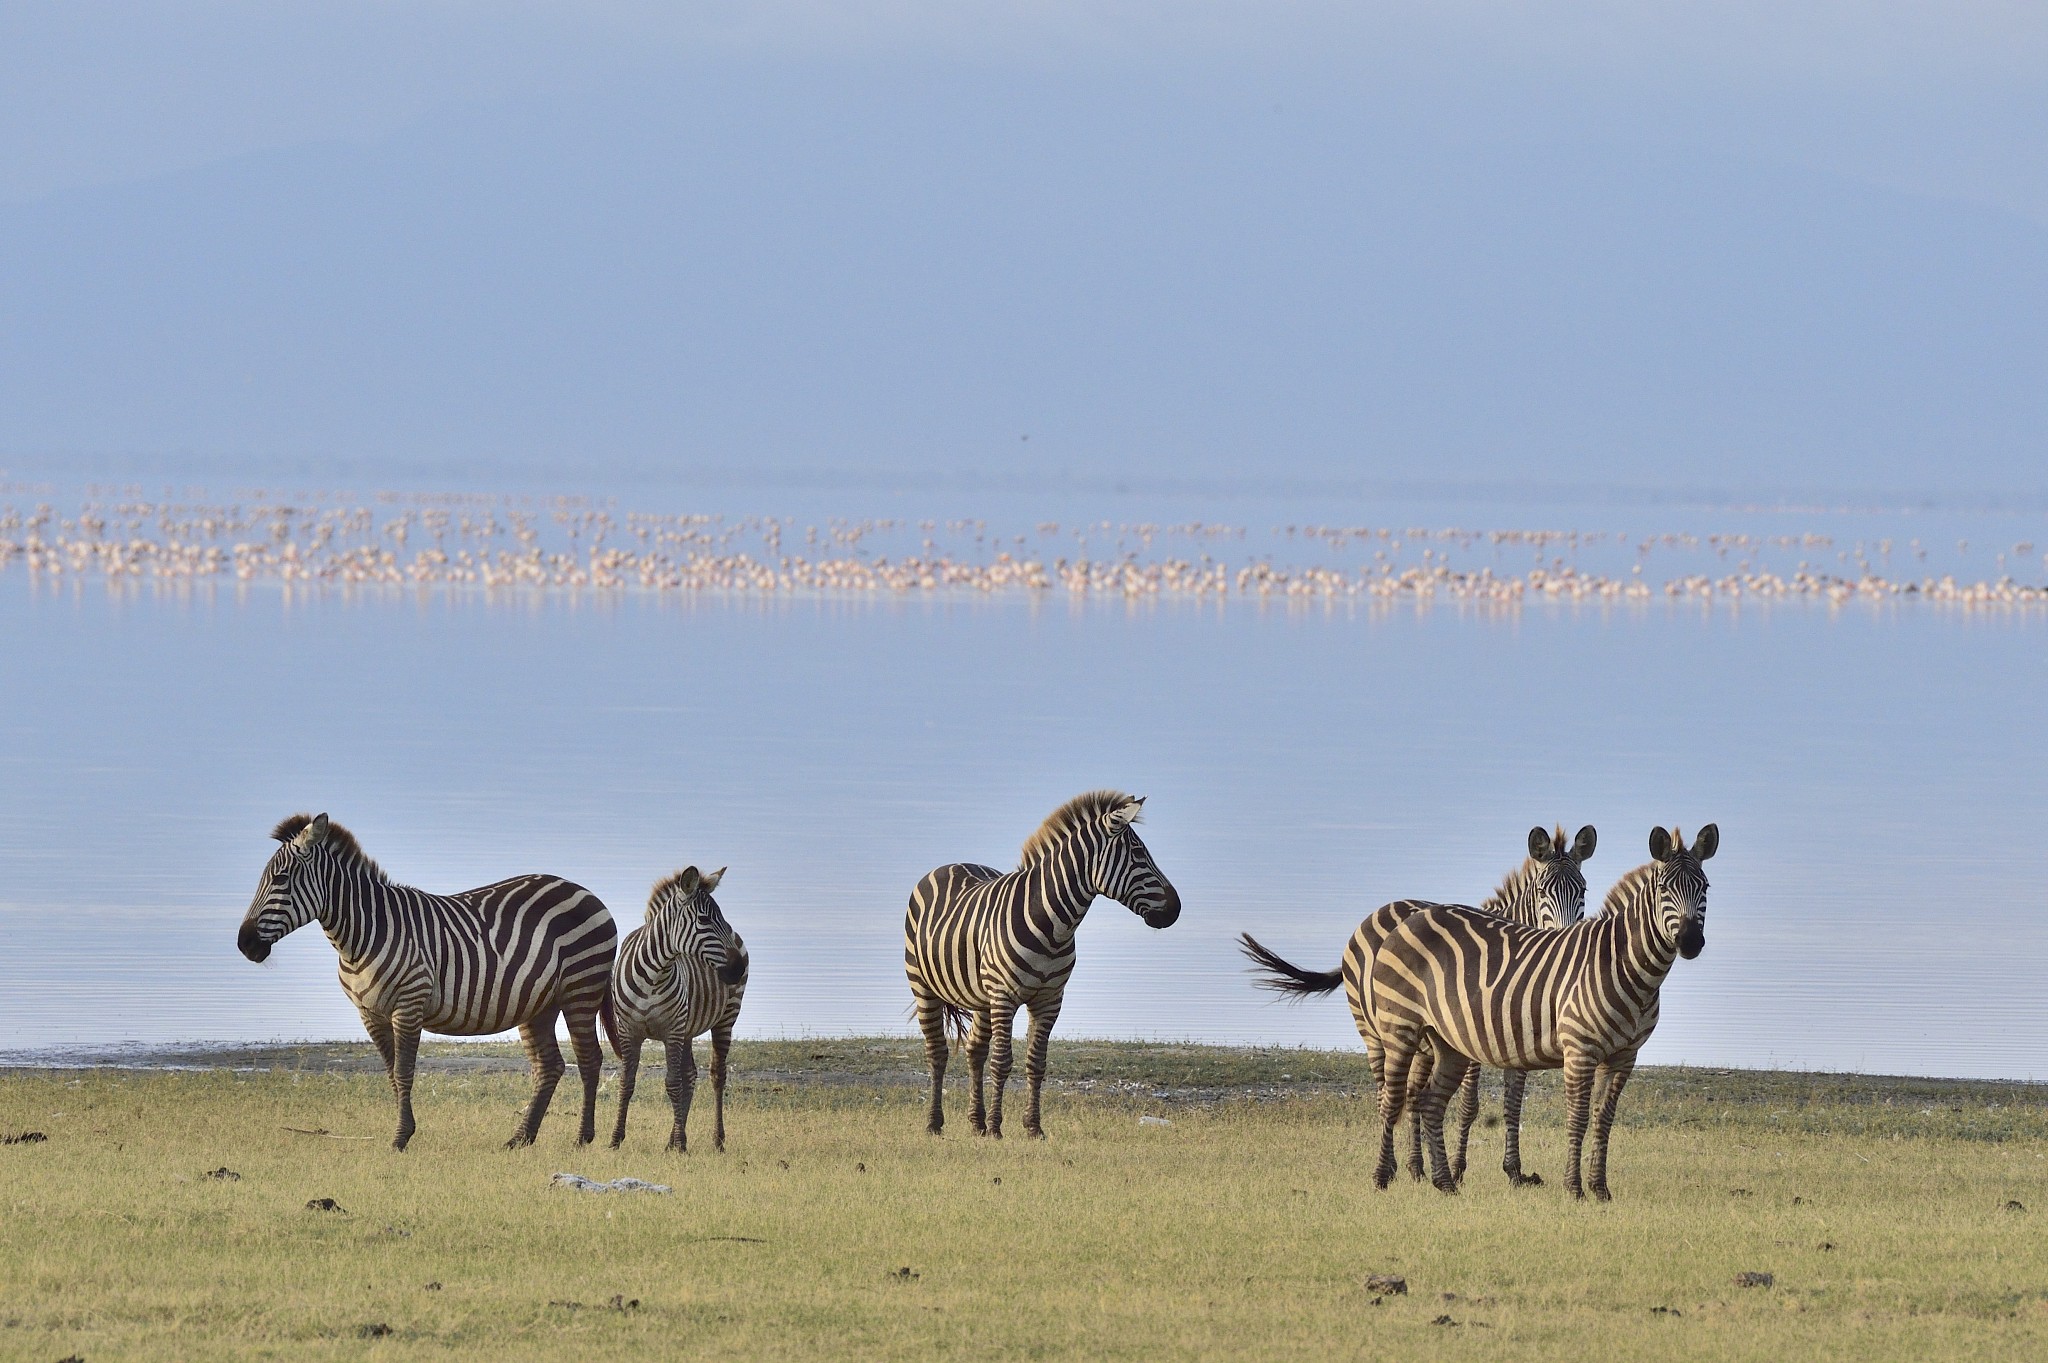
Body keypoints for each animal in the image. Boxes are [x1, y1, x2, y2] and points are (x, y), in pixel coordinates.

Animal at [235, 813, 618, 1151]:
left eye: (281, 879)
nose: (245, 944)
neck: (363, 936)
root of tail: (587, 892)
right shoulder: (369, 1013)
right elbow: (391, 1074)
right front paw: (404, 1131)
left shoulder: (409, 1003)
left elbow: (405, 1072)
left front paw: (401, 1138)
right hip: (539, 1003)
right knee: (550, 1066)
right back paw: (520, 1138)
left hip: (580, 991)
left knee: (589, 1060)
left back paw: (583, 1138)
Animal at [600, 865, 749, 1152]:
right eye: (703, 920)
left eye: (720, 919)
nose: (738, 969)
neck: (653, 975)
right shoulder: (629, 1031)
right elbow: (627, 1082)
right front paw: (615, 1139)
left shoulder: (672, 1031)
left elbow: (672, 1084)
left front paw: (681, 1144)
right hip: (688, 1029)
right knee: (689, 1076)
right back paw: (673, 1139)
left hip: (725, 1017)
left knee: (717, 1076)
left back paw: (717, 1140)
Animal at [905, 790, 1181, 1140]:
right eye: (1138, 852)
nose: (1176, 909)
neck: (1053, 925)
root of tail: (949, 864)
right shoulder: (1005, 996)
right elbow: (1002, 1061)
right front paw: (997, 1128)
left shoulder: (1049, 999)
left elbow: (1036, 1063)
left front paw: (1033, 1127)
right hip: (923, 986)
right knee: (938, 1052)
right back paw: (935, 1123)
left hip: (981, 997)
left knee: (975, 1052)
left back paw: (976, 1123)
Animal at [1238, 824, 1595, 1187]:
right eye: (1542, 891)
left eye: (1582, 890)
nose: (1566, 939)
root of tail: (1379, 910)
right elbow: (1469, 1105)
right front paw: (1458, 1168)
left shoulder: (1517, 1040)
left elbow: (1513, 1103)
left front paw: (1514, 1170)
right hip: (1374, 1033)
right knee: (1386, 1093)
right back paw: (1396, 1166)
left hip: (1421, 1043)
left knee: (1411, 1094)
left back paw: (1417, 1166)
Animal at [1370, 824, 1717, 1200]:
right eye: (1664, 888)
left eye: (1705, 887)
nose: (1690, 942)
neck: (1626, 966)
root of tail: (1412, 917)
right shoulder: (1580, 1050)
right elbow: (1578, 1118)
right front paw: (1574, 1189)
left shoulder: (1625, 1056)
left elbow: (1603, 1119)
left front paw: (1600, 1189)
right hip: (1400, 1028)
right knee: (1392, 1099)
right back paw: (1382, 1178)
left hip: (1448, 1042)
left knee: (1431, 1101)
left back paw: (1445, 1184)